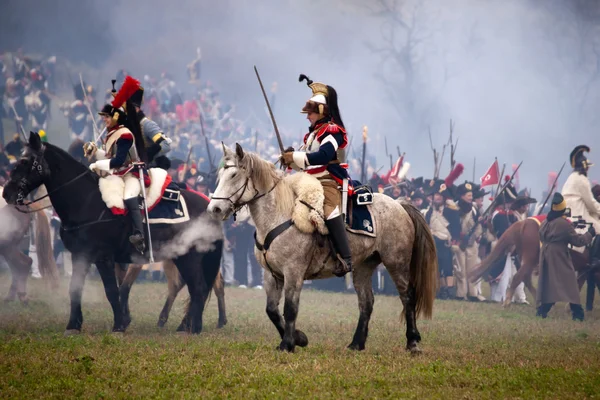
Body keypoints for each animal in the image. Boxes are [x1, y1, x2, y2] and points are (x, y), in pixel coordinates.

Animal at [2, 133, 223, 336]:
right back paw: (187, 326)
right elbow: (75, 288)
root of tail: (208, 205)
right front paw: (74, 325)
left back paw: (193, 328)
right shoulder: (80, 255)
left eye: (25, 161)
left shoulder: (103, 257)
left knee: (198, 288)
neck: (85, 201)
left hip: (190, 257)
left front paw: (118, 325)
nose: (7, 193)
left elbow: (112, 290)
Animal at [206, 145, 436, 354]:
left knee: (407, 296)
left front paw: (288, 344)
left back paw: (413, 342)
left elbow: (290, 309)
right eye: (220, 175)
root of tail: (399, 205)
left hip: (396, 262)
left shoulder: (294, 272)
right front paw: (298, 338)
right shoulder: (271, 274)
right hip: (363, 266)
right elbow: (271, 310)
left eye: (234, 175)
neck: (278, 216)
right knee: (366, 302)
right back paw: (356, 344)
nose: (214, 209)